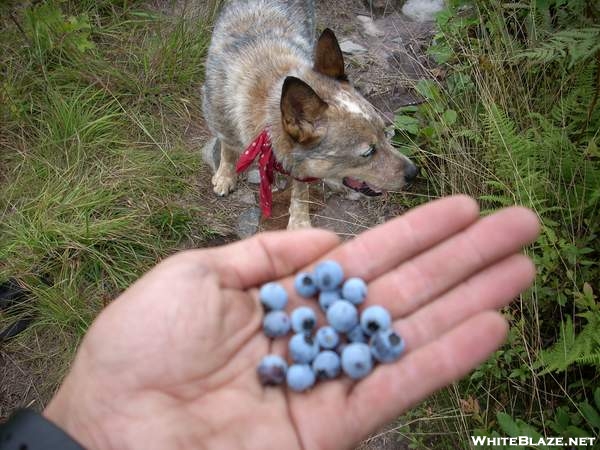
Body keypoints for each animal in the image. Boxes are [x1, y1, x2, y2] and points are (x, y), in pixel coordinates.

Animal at [203, 0, 418, 230]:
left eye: (385, 134)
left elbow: (301, 191)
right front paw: (225, 175)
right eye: (368, 152)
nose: (414, 172)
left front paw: (299, 222)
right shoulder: (223, 122)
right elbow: (228, 150)